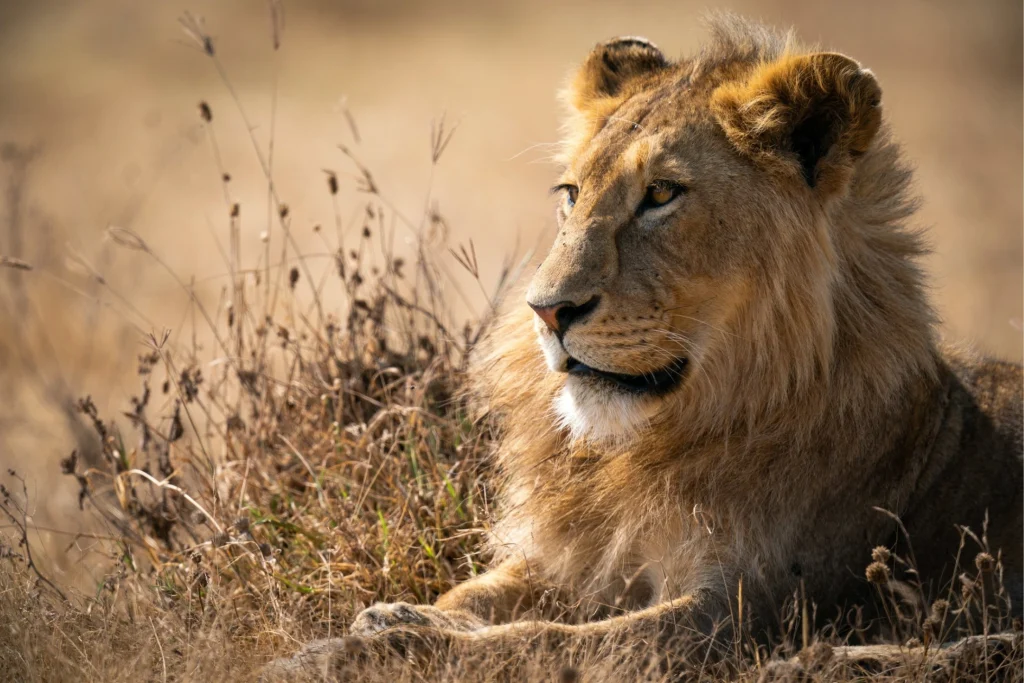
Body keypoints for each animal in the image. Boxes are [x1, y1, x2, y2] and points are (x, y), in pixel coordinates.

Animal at [264, 14, 1022, 679]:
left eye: (661, 193)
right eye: (572, 193)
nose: (546, 310)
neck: (654, 444)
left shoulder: (732, 612)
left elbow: (536, 642)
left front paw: (345, 654)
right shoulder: (575, 558)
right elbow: (476, 595)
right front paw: (395, 614)